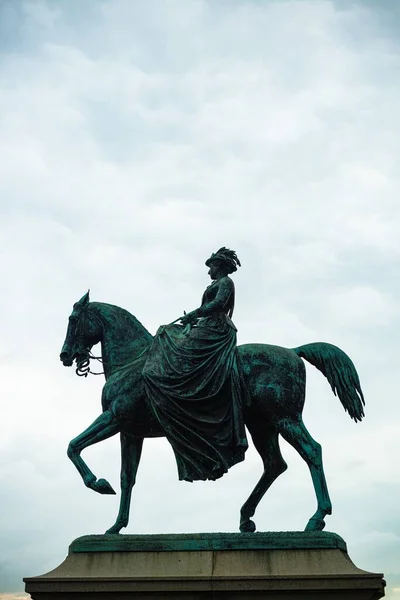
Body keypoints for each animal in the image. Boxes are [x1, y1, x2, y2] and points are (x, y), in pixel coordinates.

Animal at [60, 290, 366, 536]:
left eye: (73, 319)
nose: (64, 355)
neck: (133, 362)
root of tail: (293, 351)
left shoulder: (113, 418)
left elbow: (73, 446)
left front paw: (98, 483)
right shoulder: (130, 432)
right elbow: (127, 478)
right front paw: (116, 526)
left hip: (285, 418)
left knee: (312, 451)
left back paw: (317, 518)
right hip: (262, 425)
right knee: (275, 464)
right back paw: (245, 518)